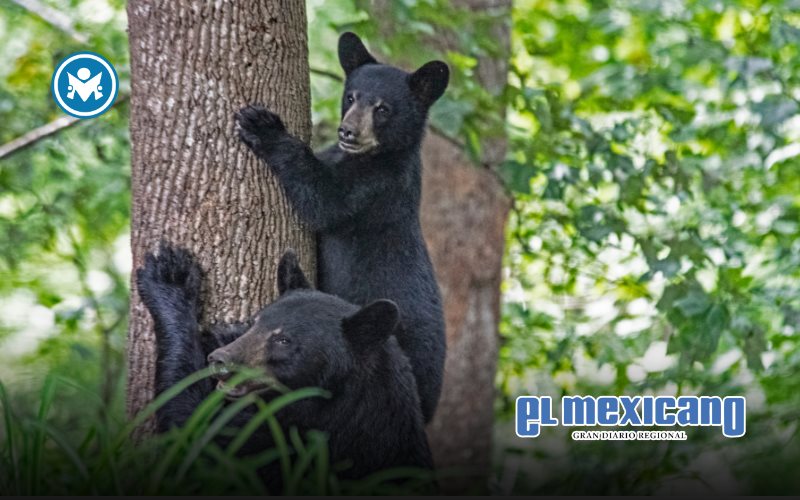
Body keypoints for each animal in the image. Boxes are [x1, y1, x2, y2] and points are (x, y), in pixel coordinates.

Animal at [135, 242, 433, 486]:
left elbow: (197, 431)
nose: (220, 359)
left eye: (283, 340)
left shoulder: (293, 434)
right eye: (255, 321)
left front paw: (170, 278)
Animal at [235, 32, 448, 423]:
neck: (373, 156)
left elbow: (323, 199)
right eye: (351, 96)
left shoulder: (374, 188)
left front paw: (262, 125)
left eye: (383, 109)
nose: (347, 131)